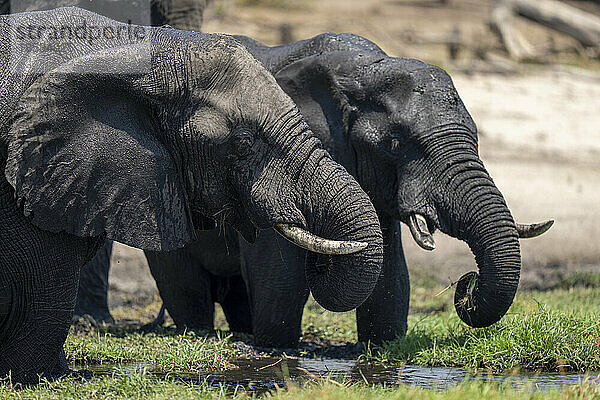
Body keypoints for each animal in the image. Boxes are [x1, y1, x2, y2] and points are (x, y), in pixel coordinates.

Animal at [0, 10, 384, 384]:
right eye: (243, 144)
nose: (319, 263)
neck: (141, 51)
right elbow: (44, 297)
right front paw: (43, 379)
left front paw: (65, 374)